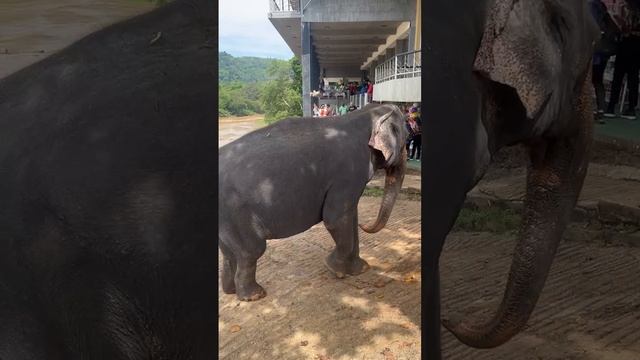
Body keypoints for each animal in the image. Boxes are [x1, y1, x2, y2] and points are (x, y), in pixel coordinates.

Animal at [218, 103, 408, 300]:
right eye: (407, 137)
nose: (366, 225)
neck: (365, 113)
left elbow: (350, 216)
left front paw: (360, 269)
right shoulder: (348, 173)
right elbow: (334, 219)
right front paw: (334, 268)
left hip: (226, 218)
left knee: (229, 253)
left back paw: (231, 290)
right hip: (235, 211)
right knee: (252, 251)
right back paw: (254, 295)